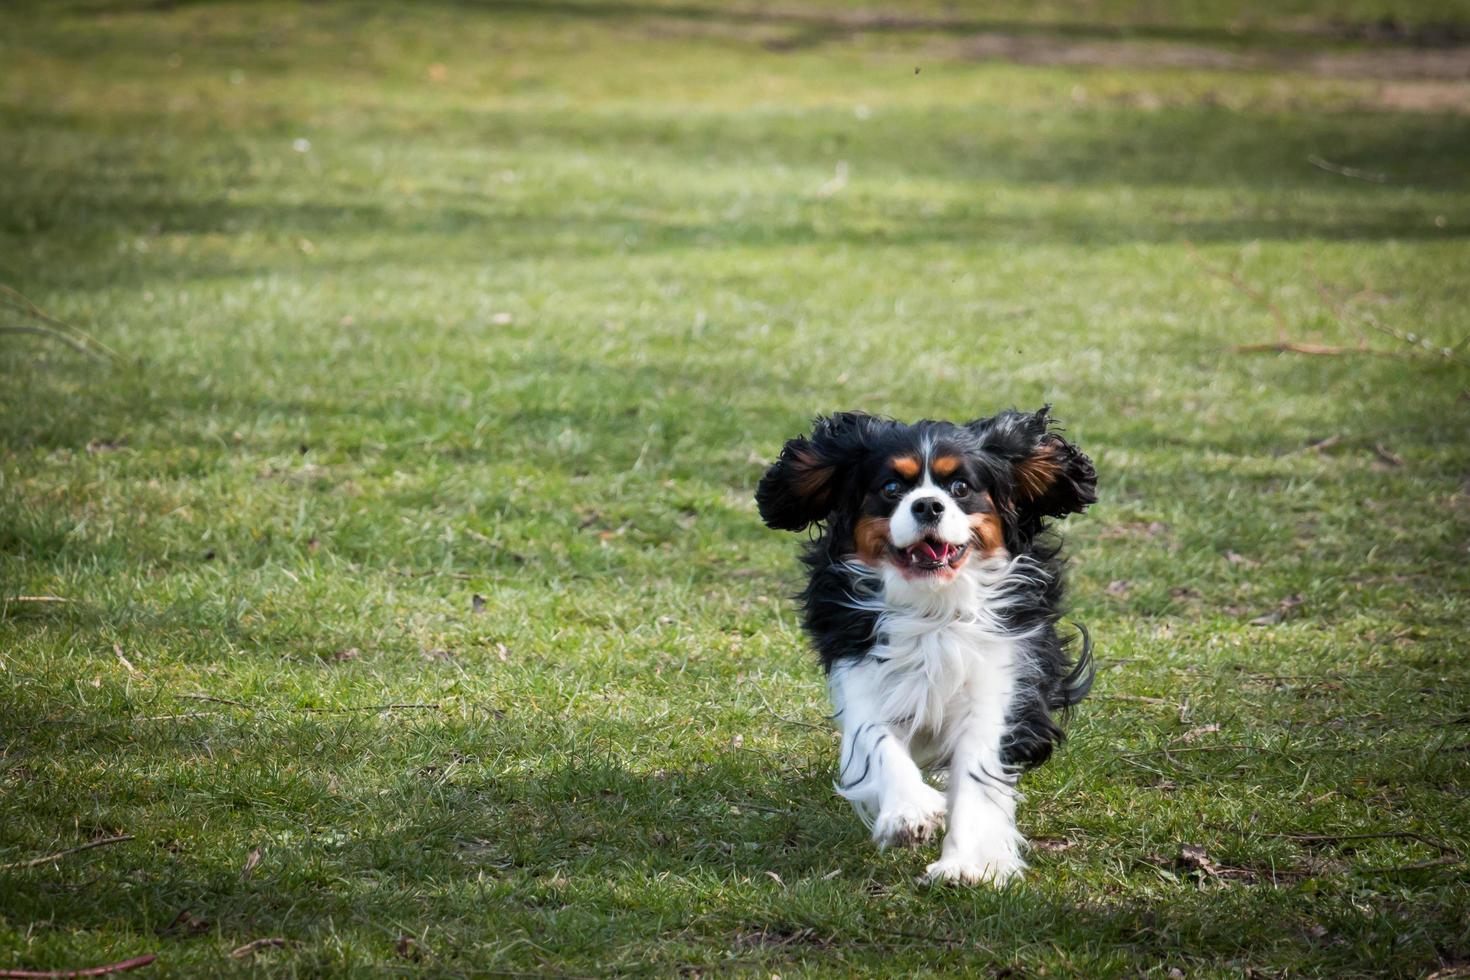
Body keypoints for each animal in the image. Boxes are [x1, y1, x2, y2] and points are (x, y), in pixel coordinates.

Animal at [758, 411, 1093, 887]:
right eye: (891, 488)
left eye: (961, 487)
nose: (928, 505)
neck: (933, 607)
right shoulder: (862, 675)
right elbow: (878, 743)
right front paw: (910, 812)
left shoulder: (996, 683)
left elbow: (975, 772)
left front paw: (966, 863)